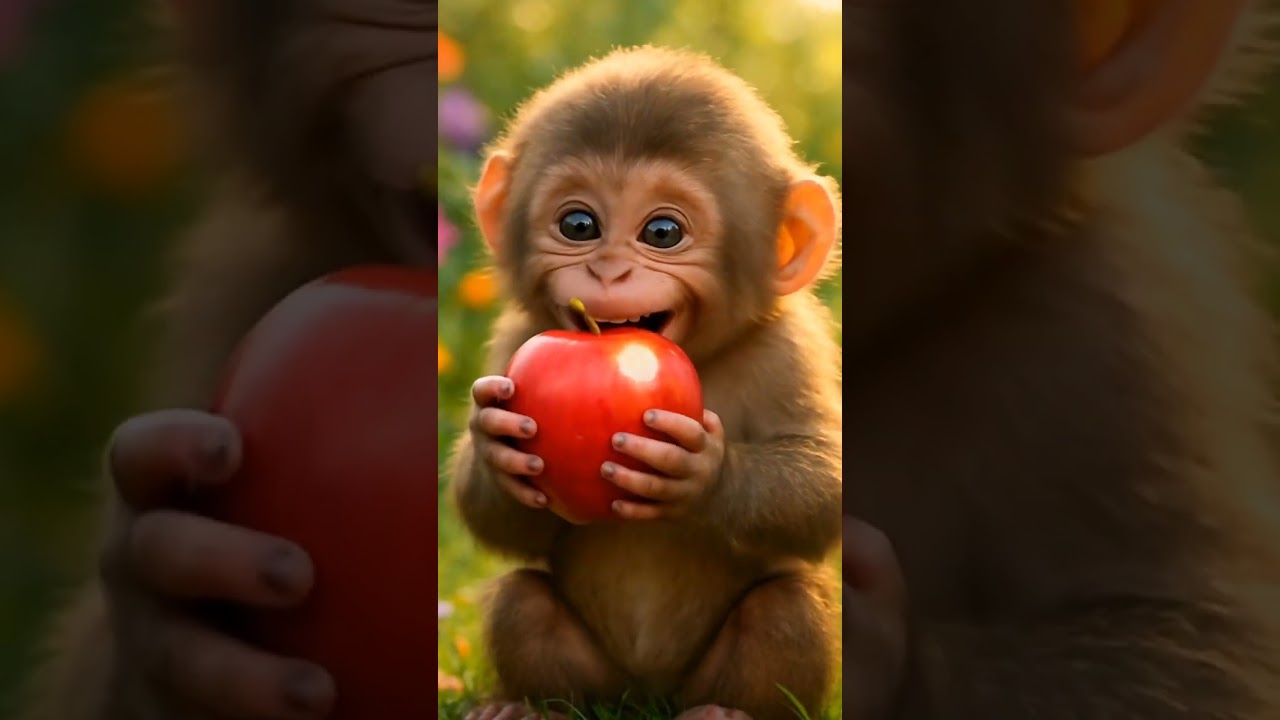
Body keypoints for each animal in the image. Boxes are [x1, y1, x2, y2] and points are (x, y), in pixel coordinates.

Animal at [446, 46, 845, 720]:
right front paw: (494, 441)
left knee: (786, 607)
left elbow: (825, 479)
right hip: (601, 682)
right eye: (579, 225)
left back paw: (727, 711)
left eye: (663, 232)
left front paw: (703, 469)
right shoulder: (514, 339)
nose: (607, 272)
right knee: (522, 602)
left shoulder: (793, 347)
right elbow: (500, 520)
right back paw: (526, 707)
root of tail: (647, 696)